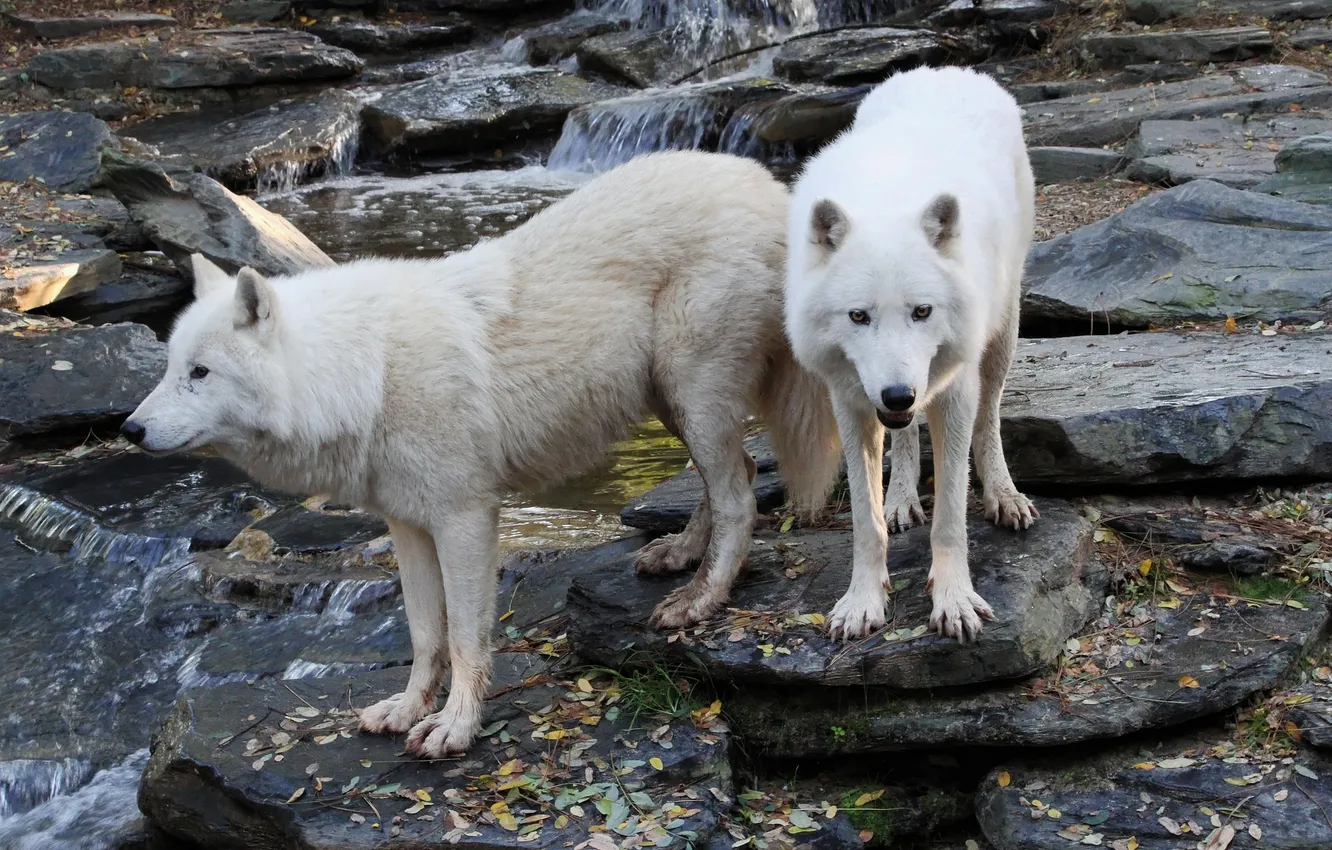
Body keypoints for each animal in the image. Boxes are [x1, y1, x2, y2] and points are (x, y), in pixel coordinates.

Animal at [121, 150, 840, 756]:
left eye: (201, 373)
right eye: (170, 366)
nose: (129, 430)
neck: (364, 371)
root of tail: (770, 186)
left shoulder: (465, 520)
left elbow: (466, 636)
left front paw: (456, 727)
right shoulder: (408, 526)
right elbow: (423, 633)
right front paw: (408, 709)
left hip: (693, 389)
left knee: (740, 496)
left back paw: (701, 600)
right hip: (671, 396)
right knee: (731, 475)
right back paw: (680, 554)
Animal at [784, 65, 1039, 643]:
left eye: (922, 311)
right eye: (859, 317)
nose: (898, 393)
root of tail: (946, 69)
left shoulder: (954, 392)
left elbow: (951, 517)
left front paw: (954, 600)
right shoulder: (851, 402)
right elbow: (865, 520)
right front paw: (862, 601)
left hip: (1001, 333)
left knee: (991, 417)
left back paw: (1004, 493)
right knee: (903, 442)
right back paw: (901, 497)